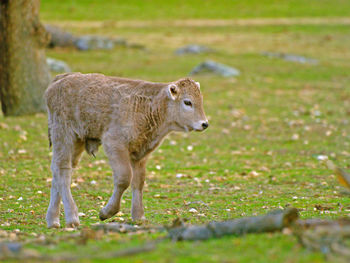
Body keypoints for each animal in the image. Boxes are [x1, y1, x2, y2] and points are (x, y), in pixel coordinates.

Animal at [43, 72, 208, 229]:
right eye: (187, 102)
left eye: (201, 100)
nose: (204, 124)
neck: (149, 106)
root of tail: (62, 78)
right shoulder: (114, 144)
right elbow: (124, 178)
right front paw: (106, 212)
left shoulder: (140, 155)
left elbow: (138, 182)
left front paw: (139, 216)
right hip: (64, 136)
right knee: (62, 170)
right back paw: (72, 219)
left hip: (77, 142)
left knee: (60, 172)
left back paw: (53, 220)